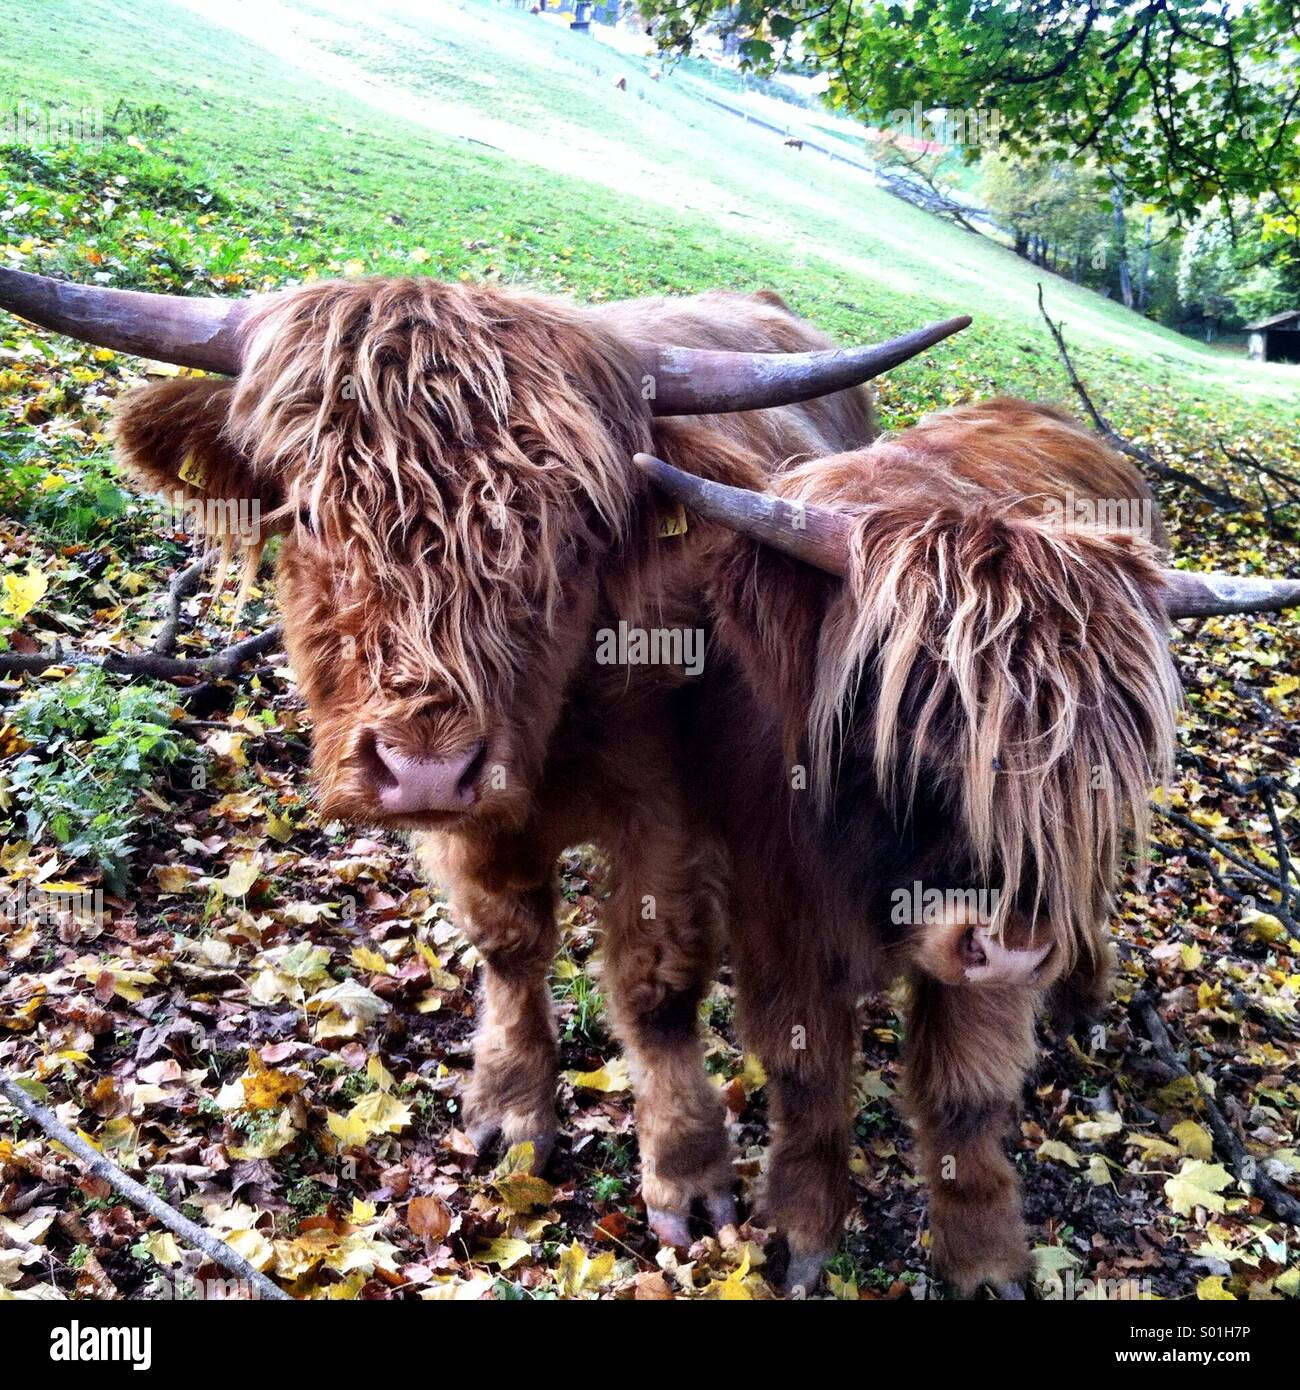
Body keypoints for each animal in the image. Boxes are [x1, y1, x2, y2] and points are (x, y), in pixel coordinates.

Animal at [0, 265, 966, 1252]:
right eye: (306, 512)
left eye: (572, 531)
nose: (426, 767)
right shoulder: (474, 828)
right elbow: (508, 943)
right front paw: (510, 1109)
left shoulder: (670, 817)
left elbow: (654, 983)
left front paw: (685, 1170)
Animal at [637, 397, 1300, 1294]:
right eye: (913, 704)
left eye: (1101, 757)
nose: (1014, 943)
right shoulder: (778, 912)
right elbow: (807, 1076)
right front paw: (803, 1233)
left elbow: (965, 1095)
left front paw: (982, 1257)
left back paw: (1083, 993)